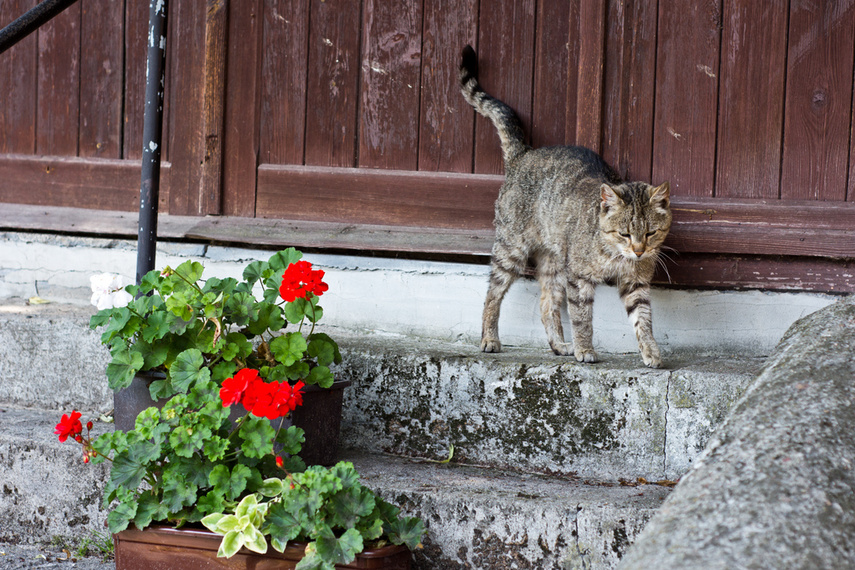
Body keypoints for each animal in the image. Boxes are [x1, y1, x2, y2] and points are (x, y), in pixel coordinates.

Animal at [458, 44, 672, 366]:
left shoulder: (635, 283)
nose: (639, 251)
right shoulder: (578, 278)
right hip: (512, 250)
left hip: (554, 262)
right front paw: (585, 349)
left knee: (547, 303)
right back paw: (489, 338)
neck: (616, 255)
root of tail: (523, 154)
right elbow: (582, 317)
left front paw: (650, 351)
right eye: (624, 234)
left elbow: (643, 319)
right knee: (492, 294)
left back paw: (559, 345)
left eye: (650, 233)